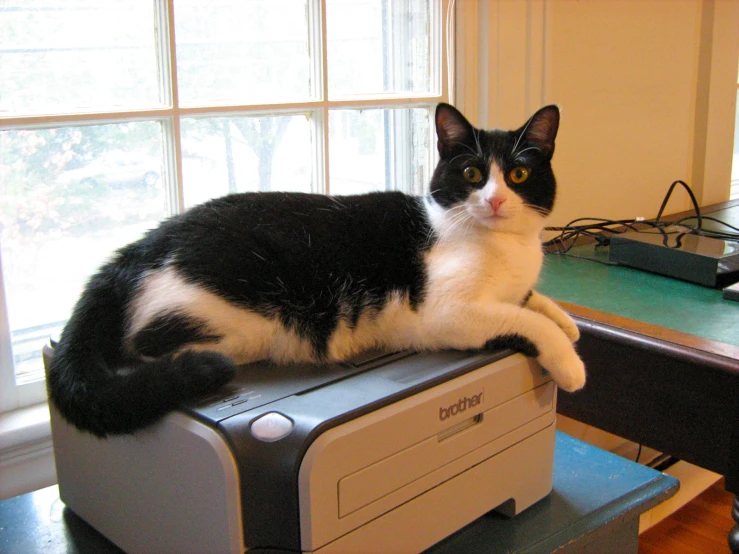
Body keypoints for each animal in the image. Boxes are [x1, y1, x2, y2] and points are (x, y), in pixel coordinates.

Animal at [49, 101, 588, 434]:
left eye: (519, 174)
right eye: (472, 173)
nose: (495, 200)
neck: (505, 246)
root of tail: (138, 248)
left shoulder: (516, 284)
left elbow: (536, 302)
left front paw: (568, 323)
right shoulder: (445, 314)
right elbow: (524, 319)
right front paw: (570, 363)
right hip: (238, 317)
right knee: (146, 345)